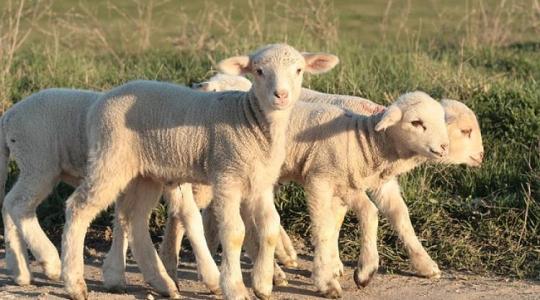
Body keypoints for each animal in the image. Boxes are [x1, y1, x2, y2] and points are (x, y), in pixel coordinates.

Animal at [59, 42, 338, 300]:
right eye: (259, 71)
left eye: (299, 70)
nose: (281, 95)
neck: (251, 121)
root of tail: (100, 101)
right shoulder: (226, 176)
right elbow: (235, 233)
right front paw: (235, 287)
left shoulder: (260, 182)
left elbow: (269, 228)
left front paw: (263, 284)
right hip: (111, 158)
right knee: (78, 208)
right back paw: (75, 284)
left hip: (145, 173)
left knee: (134, 219)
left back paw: (163, 283)